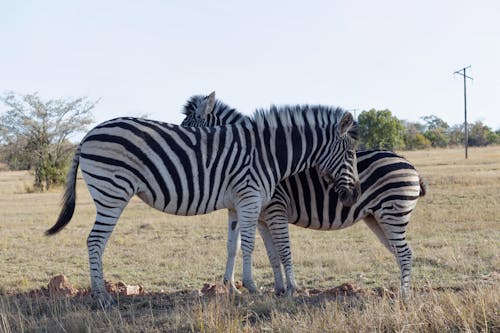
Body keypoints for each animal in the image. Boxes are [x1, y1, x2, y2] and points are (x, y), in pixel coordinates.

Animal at [46, 92, 360, 304]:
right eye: (350, 153)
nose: (354, 193)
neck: (268, 153)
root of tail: (87, 136)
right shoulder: (249, 198)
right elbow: (250, 246)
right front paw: (252, 287)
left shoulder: (236, 204)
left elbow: (233, 246)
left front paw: (231, 288)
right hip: (112, 192)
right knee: (95, 240)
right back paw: (102, 297)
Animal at [182, 92, 428, 296]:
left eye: (187, 129)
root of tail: (409, 164)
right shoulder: (261, 218)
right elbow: (271, 254)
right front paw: (279, 290)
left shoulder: (276, 209)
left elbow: (283, 250)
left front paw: (291, 290)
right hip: (377, 218)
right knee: (400, 252)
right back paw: (399, 292)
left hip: (393, 213)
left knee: (404, 253)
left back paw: (404, 295)